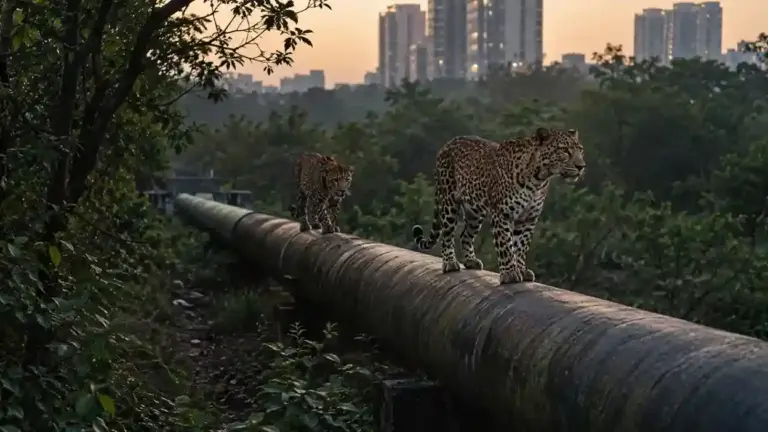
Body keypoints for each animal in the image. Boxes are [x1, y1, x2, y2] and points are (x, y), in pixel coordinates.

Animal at [411, 127, 585, 285]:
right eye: (564, 150)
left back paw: (471, 261)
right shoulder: (502, 213)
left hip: (475, 212)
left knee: (465, 235)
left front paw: (521, 270)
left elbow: (521, 246)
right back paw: (450, 263)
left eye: (580, 150)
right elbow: (506, 245)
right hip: (449, 201)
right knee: (447, 234)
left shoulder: (528, 218)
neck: (539, 179)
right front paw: (509, 274)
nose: (581, 166)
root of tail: (448, 144)